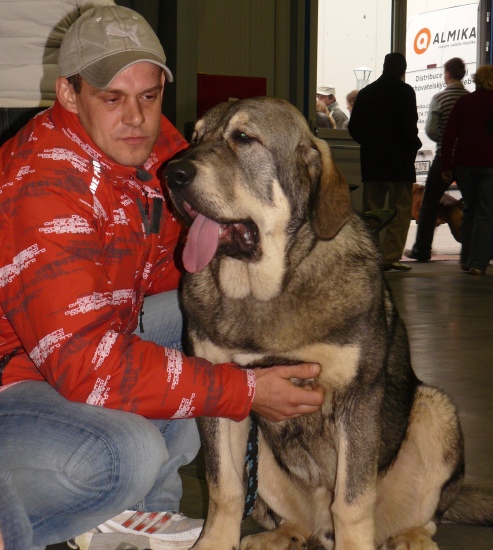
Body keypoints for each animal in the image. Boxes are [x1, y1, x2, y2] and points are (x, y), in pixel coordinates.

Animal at [165, 99, 492, 550]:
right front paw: (214, 542)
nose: (172, 174)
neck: (266, 290)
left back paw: (411, 537)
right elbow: (224, 488)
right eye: (194, 137)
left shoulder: (357, 399)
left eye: (244, 138)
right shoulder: (224, 394)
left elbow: (353, 501)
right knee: (292, 518)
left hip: (434, 409)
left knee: (424, 515)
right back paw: (280, 535)